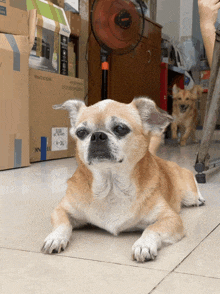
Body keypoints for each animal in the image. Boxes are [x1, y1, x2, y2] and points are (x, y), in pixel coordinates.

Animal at [40, 97, 205, 262]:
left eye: (120, 128)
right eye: (81, 132)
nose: (97, 135)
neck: (111, 186)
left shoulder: (171, 218)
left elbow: (152, 228)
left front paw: (144, 244)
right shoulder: (61, 209)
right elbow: (63, 224)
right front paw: (55, 238)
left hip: (187, 192)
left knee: (191, 178)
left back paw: (199, 197)